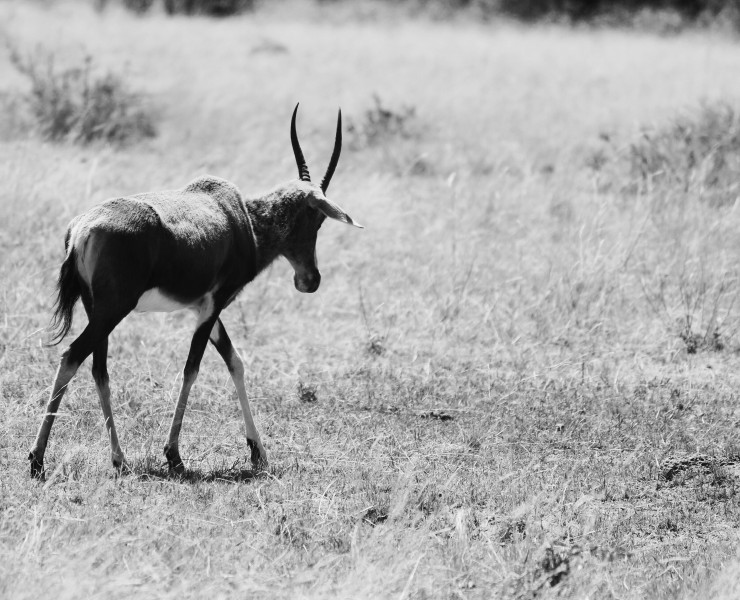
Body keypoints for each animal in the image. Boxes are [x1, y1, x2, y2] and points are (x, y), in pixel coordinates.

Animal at [27, 103, 362, 478]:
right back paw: (37, 460)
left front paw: (258, 452)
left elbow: (235, 361)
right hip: (112, 311)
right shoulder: (214, 305)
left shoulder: (203, 308)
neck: (240, 217)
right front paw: (174, 455)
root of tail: (83, 229)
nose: (310, 280)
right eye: (316, 219)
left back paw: (119, 460)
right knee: (72, 356)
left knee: (99, 369)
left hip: (95, 309)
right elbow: (193, 368)